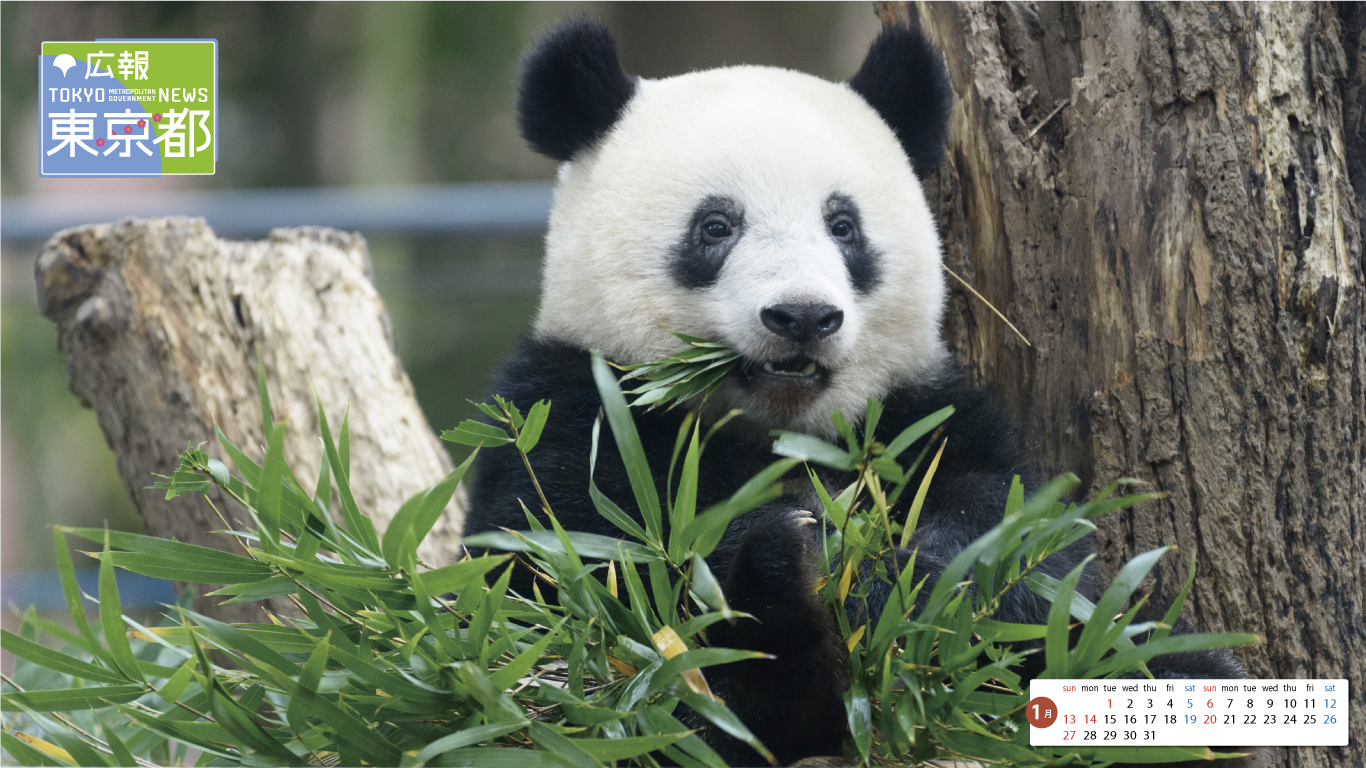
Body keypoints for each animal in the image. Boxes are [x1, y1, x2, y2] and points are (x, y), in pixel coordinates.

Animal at [461, 17, 1251, 765]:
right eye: (715, 226)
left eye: (843, 226)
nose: (803, 317)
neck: (777, 429)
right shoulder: (575, 419)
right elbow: (589, 599)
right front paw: (799, 552)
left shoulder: (922, 417)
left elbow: (1022, 551)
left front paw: (897, 571)